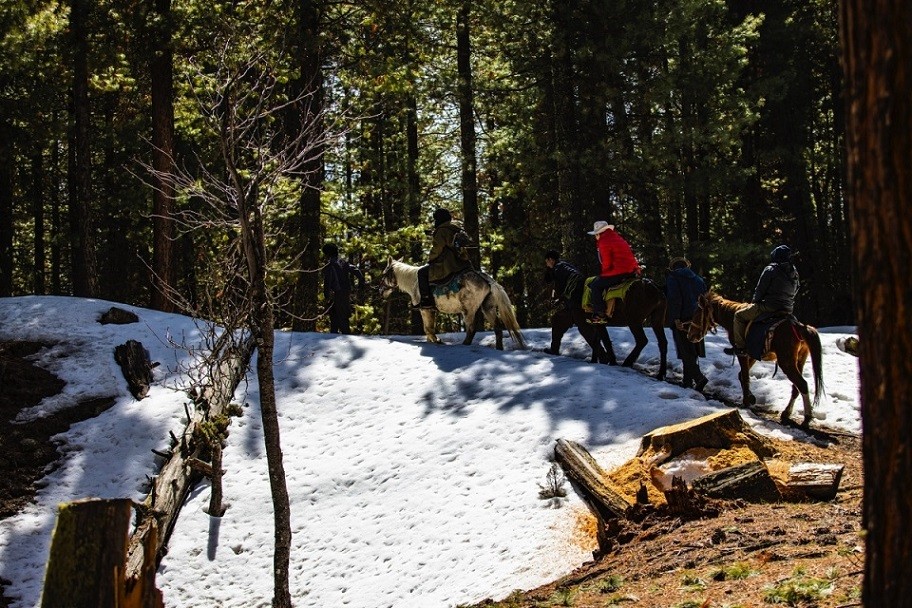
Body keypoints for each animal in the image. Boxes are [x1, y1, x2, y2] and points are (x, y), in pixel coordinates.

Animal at [380, 258, 528, 352]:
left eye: (384, 274)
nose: (380, 291)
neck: (414, 283)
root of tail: (486, 279)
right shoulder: (430, 311)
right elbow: (428, 328)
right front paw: (432, 341)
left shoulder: (425, 310)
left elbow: (428, 328)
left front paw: (437, 341)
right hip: (487, 308)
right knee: (497, 328)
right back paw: (498, 349)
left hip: (468, 311)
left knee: (471, 329)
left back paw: (464, 346)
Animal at [684, 290, 828, 428]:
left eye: (697, 313)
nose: (690, 335)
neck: (732, 318)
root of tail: (799, 327)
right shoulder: (753, 355)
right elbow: (742, 375)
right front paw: (751, 398)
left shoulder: (742, 353)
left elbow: (745, 376)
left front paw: (746, 402)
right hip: (800, 360)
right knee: (796, 387)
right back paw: (787, 413)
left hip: (786, 362)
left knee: (802, 384)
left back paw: (807, 418)